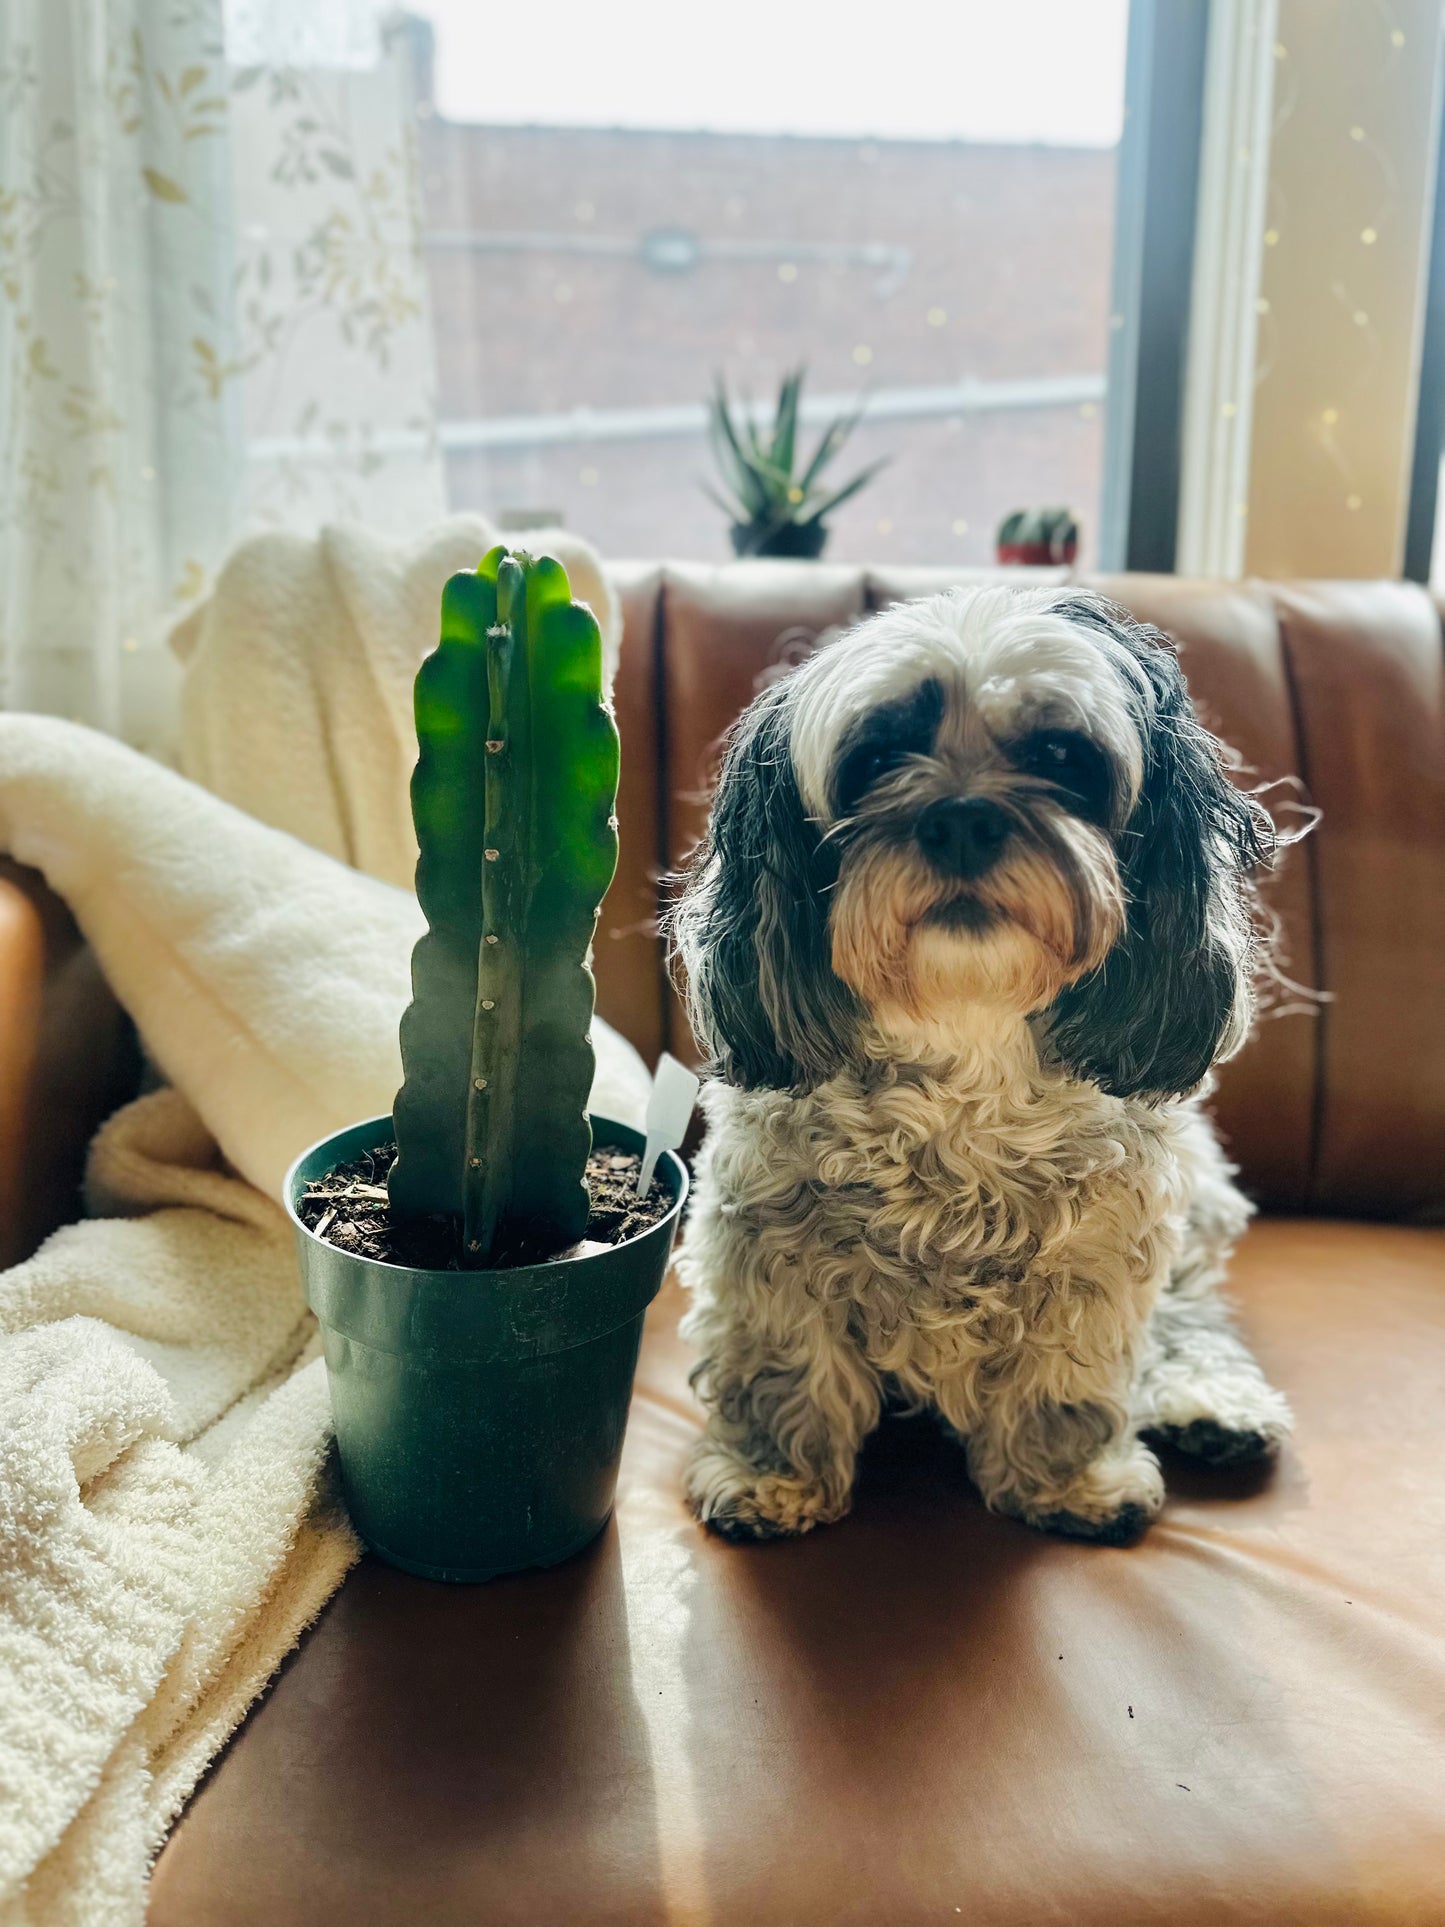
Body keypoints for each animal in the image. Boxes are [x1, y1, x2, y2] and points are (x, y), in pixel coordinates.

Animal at [674, 585, 1294, 1549]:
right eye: (877, 754)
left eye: (1060, 754)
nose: (961, 817)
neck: (965, 1039)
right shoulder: (764, 1242)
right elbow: (784, 1369)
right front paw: (770, 1474)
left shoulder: (1101, 1254)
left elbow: (1066, 1379)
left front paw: (1066, 1481)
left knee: (1192, 1313)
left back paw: (1209, 1402)